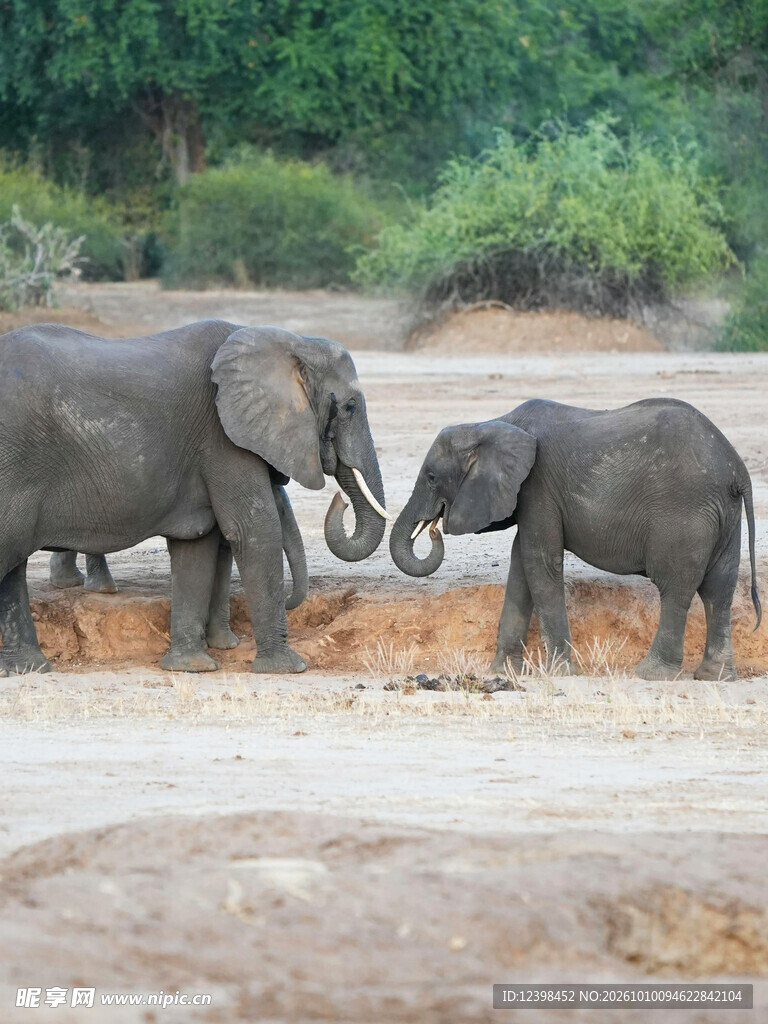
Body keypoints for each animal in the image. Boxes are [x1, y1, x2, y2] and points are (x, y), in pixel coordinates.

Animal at [0, 321, 387, 676]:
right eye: (350, 407)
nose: (340, 500)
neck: (291, 342)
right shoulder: (221, 437)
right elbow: (253, 531)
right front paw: (287, 668)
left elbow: (197, 545)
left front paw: (191, 667)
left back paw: (29, 669)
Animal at [389, 398, 760, 681]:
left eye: (431, 477)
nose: (433, 527)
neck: (492, 425)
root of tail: (738, 469)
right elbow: (521, 565)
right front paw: (505, 672)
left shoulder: (537, 486)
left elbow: (540, 564)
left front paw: (559, 672)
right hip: (724, 516)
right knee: (719, 591)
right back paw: (716, 677)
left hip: (685, 514)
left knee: (676, 587)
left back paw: (651, 675)